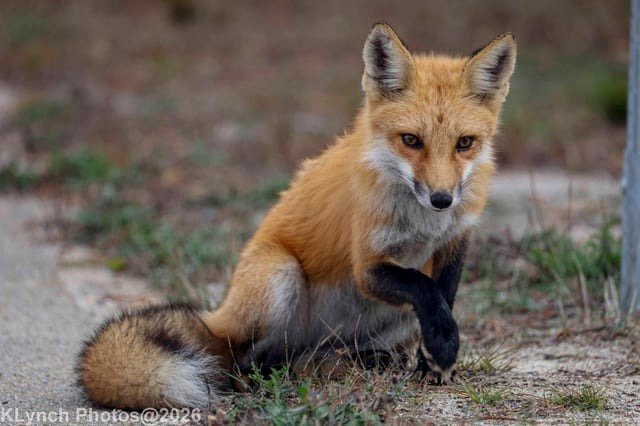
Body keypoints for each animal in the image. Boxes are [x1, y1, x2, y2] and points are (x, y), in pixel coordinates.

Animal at [77, 23, 516, 410]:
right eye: (411, 140)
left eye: (465, 143)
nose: (442, 199)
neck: (425, 224)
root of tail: (218, 317)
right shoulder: (367, 263)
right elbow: (424, 290)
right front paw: (442, 347)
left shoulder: (456, 241)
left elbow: (442, 299)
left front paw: (434, 360)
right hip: (279, 277)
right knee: (243, 361)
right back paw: (261, 379)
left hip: (382, 323)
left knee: (310, 356)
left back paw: (358, 363)